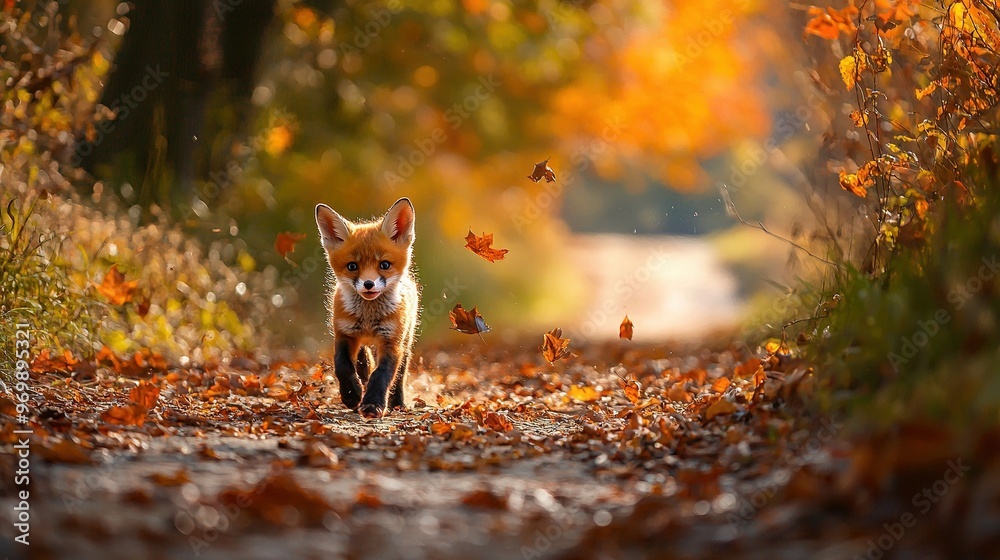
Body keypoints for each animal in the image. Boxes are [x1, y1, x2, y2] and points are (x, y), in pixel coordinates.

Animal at [315, 198, 419, 418]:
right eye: (352, 266)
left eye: (384, 265)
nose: (368, 284)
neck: (369, 318)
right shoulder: (344, 334)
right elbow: (343, 366)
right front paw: (352, 394)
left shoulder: (392, 341)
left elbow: (382, 374)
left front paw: (373, 404)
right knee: (363, 360)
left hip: (406, 340)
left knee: (400, 374)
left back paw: (398, 403)